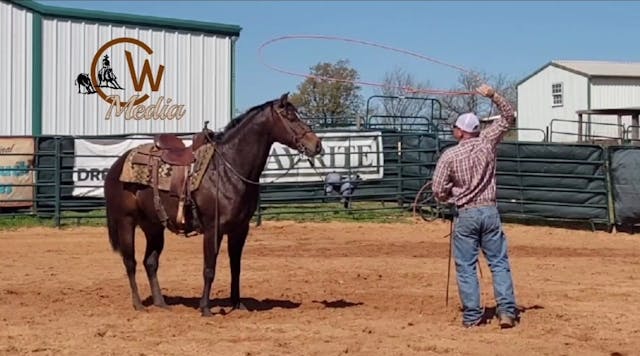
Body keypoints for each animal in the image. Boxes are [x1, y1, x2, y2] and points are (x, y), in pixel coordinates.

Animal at [107, 92, 324, 318]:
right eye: (290, 116)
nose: (316, 144)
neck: (227, 168)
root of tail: (116, 166)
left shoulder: (240, 229)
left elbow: (236, 267)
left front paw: (238, 304)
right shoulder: (213, 228)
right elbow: (209, 268)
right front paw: (205, 308)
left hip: (153, 226)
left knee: (150, 262)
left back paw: (161, 303)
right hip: (126, 221)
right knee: (130, 262)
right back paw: (138, 304)